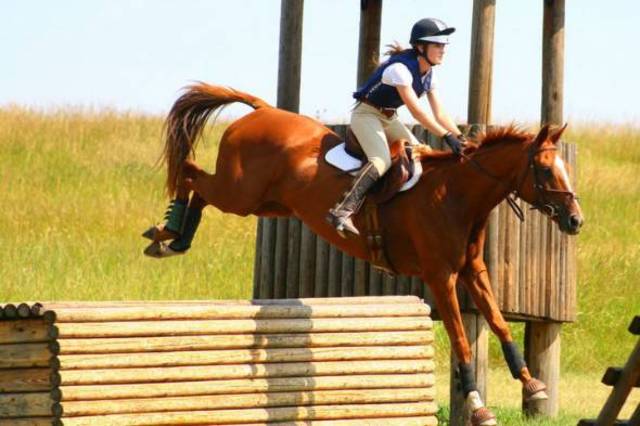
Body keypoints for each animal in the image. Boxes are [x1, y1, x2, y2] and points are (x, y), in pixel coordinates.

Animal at [143, 83, 583, 425]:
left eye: (565, 167)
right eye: (546, 171)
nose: (575, 220)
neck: (457, 195)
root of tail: (263, 110)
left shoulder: (473, 271)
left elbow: (500, 324)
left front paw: (532, 384)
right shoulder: (441, 277)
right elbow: (462, 340)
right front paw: (479, 407)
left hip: (267, 204)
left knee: (198, 183)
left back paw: (174, 239)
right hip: (239, 193)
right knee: (190, 172)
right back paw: (166, 235)